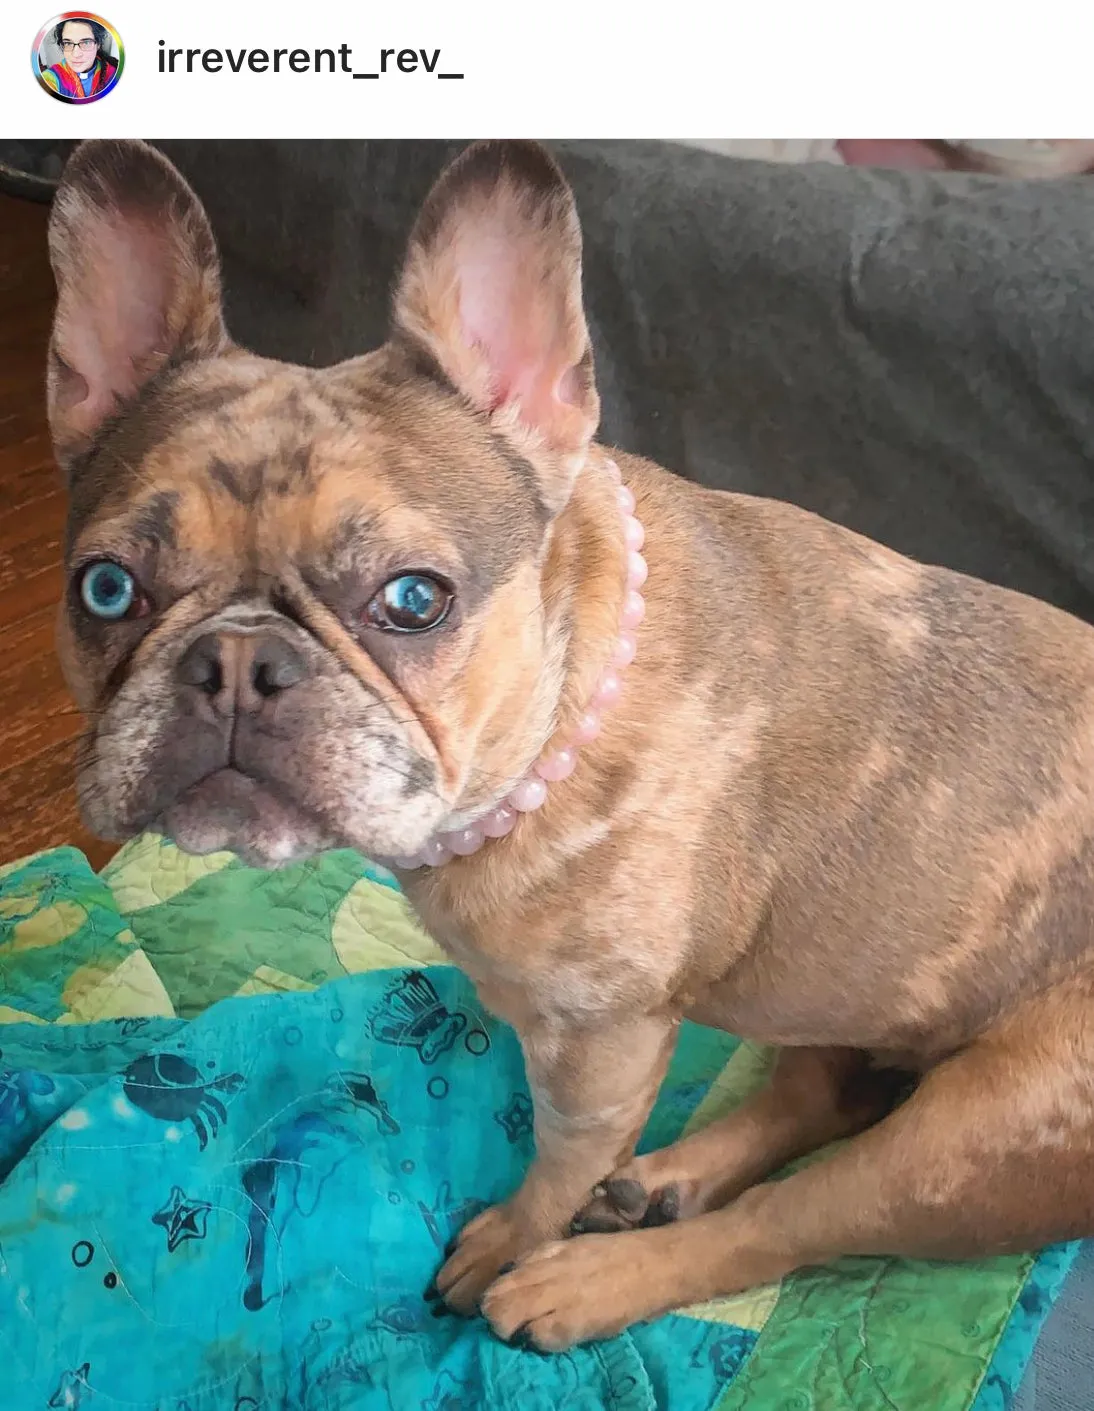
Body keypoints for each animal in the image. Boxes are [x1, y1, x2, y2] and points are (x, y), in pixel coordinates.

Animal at [42, 137, 1094, 1348]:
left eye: (413, 600)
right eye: (104, 588)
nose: (234, 664)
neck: (550, 717)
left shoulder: (600, 1048)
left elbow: (554, 1165)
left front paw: (512, 1239)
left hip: (972, 1137)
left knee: (794, 1216)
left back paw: (586, 1279)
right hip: (835, 990)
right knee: (821, 1093)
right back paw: (663, 1182)